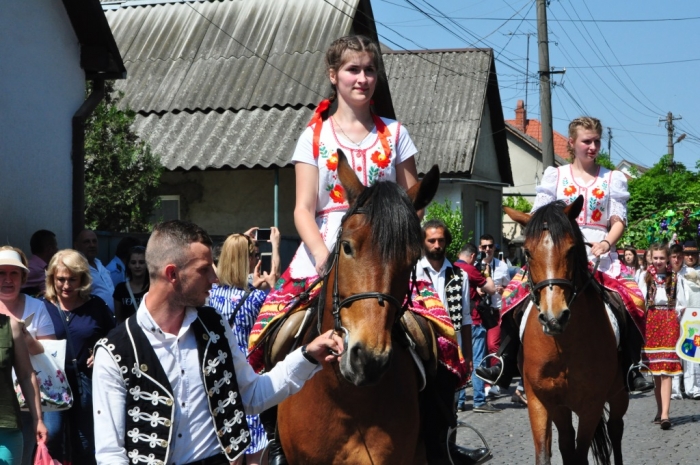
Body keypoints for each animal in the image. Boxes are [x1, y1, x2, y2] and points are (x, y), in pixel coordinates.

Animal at [506, 197, 628, 464]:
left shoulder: (591, 405)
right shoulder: (541, 401)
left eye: (571, 250)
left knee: (615, 429)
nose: (554, 318)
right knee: (567, 440)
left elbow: (580, 454)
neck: (563, 346)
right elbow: (548, 452)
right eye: (527, 252)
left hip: (618, 393)